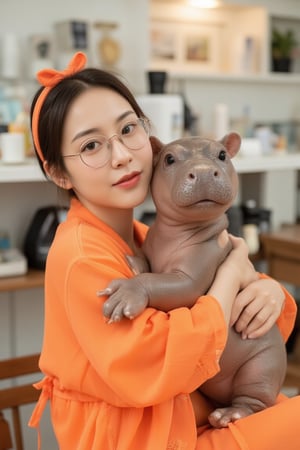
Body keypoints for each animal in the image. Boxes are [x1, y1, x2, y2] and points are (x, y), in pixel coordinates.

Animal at [98, 133, 286, 428]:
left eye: (222, 155)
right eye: (169, 158)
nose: (203, 172)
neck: (174, 233)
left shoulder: (198, 269)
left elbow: (171, 284)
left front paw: (126, 293)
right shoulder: (153, 245)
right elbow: (148, 265)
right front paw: (134, 262)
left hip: (263, 365)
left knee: (255, 400)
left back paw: (229, 415)